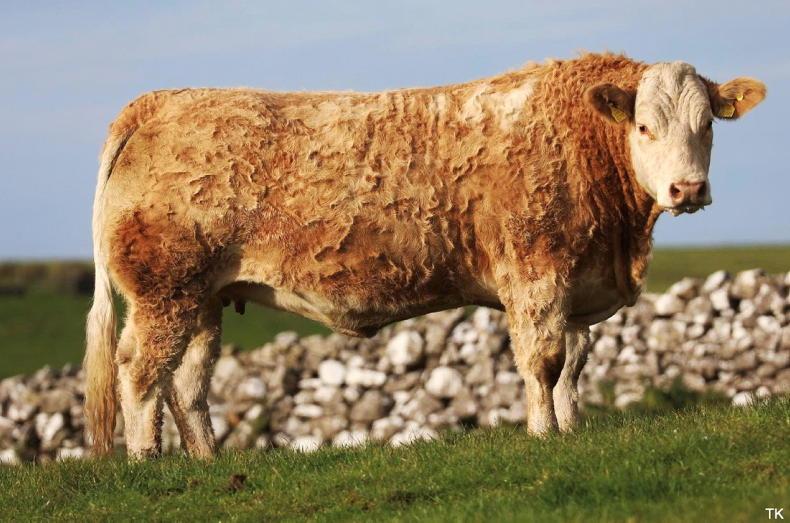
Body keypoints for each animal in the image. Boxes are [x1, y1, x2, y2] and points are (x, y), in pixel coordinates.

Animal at [84, 53, 765, 458]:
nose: (687, 190)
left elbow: (573, 366)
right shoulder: (536, 275)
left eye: (708, 124)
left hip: (203, 298)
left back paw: (204, 462)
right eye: (645, 127)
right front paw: (543, 435)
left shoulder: (577, 285)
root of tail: (165, 99)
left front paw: (572, 432)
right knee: (139, 372)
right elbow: (543, 363)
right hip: (163, 292)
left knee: (188, 383)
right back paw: (145, 462)